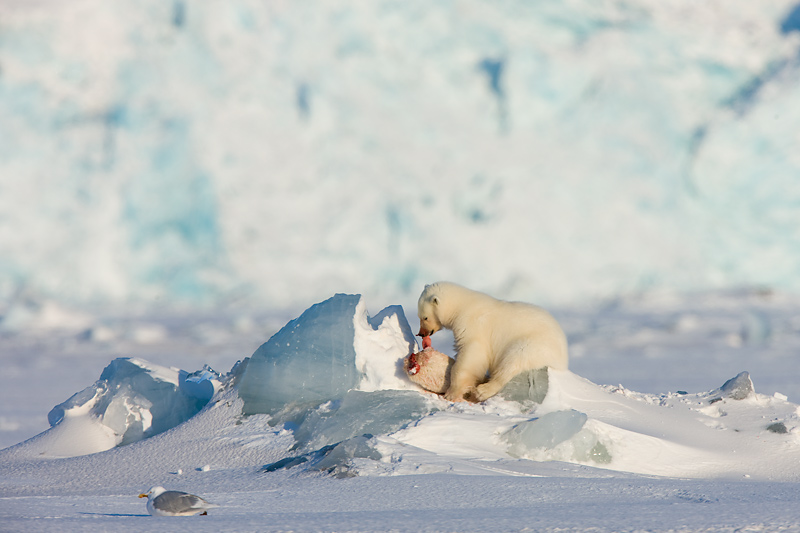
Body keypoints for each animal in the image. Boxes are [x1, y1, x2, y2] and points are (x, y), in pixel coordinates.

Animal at [416, 282, 564, 400]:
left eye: (425, 317)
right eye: (419, 316)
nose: (421, 333)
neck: (463, 306)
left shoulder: (473, 325)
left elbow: (471, 355)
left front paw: (451, 393)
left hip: (534, 345)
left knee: (514, 360)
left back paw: (482, 391)